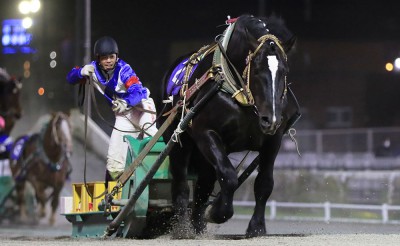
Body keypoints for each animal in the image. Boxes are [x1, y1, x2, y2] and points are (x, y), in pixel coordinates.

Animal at [158, 14, 298, 237]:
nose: (271, 119)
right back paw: (182, 230)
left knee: (204, 184)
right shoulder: (206, 133)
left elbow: (264, 183)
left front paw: (256, 227)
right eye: (257, 70)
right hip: (180, 141)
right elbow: (229, 176)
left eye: (284, 72)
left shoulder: (273, 140)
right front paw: (217, 212)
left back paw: (197, 227)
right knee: (180, 183)